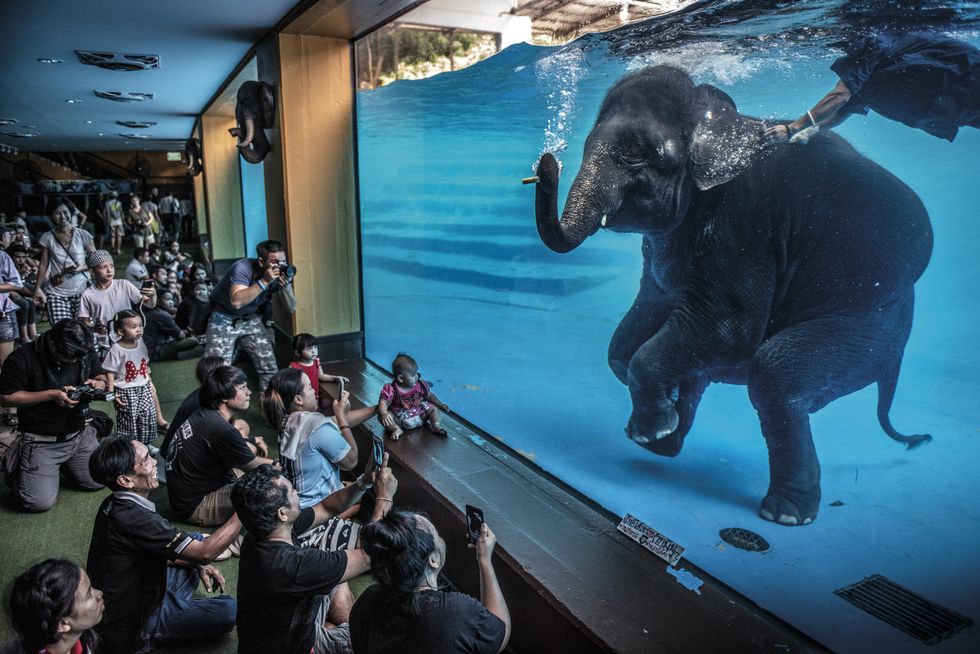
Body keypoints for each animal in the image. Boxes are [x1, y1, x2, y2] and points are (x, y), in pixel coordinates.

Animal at [534, 65, 933, 526]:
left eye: (634, 151)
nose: (546, 164)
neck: (719, 118)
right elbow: (639, 324)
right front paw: (662, 414)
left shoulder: (746, 225)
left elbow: (727, 330)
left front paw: (654, 424)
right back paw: (667, 443)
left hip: (869, 323)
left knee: (773, 375)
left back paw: (784, 515)